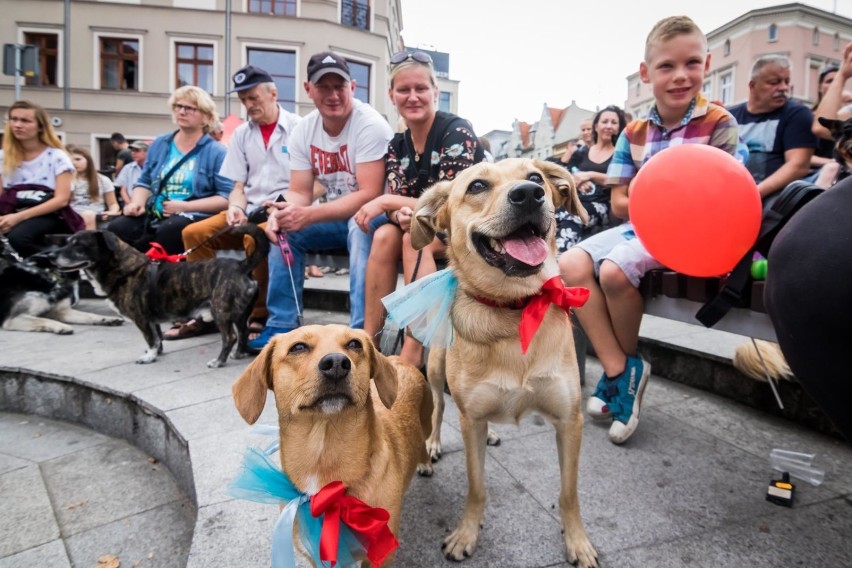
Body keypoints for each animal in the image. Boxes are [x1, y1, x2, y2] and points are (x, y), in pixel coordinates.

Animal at [230, 324, 432, 564]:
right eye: (298, 347)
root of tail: (400, 359)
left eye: (355, 344)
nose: (337, 363)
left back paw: (426, 462)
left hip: (428, 421)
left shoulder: (380, 557)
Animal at [412, 160, 600, 568]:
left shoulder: (570, 421)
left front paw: (578, 541)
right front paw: (466, 534)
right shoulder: (470, 419)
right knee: (437, 408)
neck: (514, 309)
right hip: (434, 369)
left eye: (535, 178)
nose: (529, 195)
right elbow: (476, 486)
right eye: (477, 185)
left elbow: (569, 493)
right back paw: (430, 446)